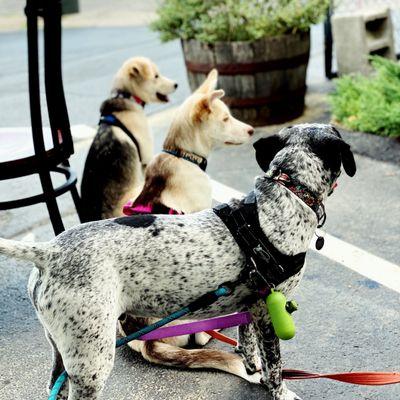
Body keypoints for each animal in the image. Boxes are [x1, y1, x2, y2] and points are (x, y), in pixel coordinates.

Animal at [0, 123, 356, 398]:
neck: (289, 193)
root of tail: (49, 252)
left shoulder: (251, 306)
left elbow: (248, 343)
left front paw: (251, 365)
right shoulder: (270, 309)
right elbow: (275, 366)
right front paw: (279, 390)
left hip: (63, 354)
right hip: (92, 360)